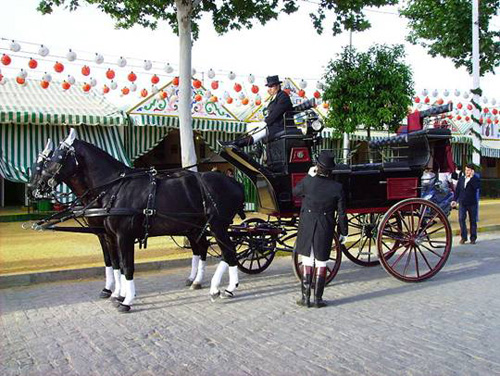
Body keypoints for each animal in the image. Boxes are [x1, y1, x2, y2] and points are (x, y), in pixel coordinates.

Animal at [35, 129, 246, 312]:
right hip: (196, 228)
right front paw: (117, 293)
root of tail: (234, 182)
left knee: (229, 251)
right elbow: (116, 263)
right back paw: (203, 283)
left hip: (217, 226)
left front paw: (126, 300)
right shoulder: (109, 236)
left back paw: (226, 288)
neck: (114, 188)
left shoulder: (123, 236)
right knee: (207, 250)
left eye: (58, 156)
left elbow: (126, 266)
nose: (37, 186)